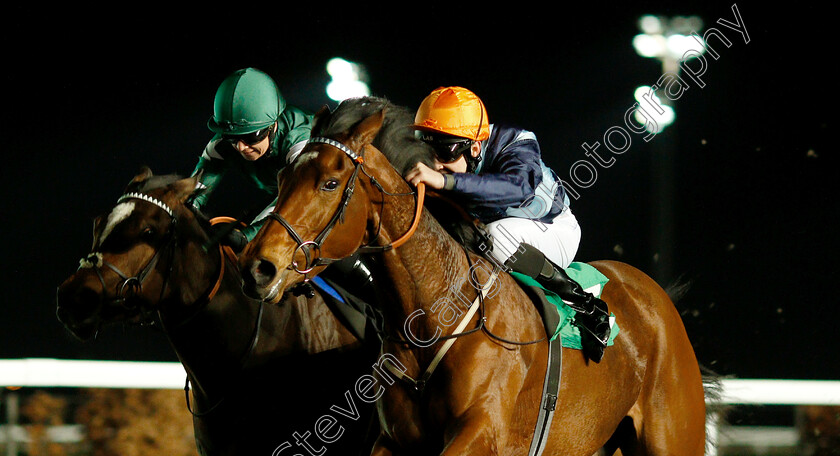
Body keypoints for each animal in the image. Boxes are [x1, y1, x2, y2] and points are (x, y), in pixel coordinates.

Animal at [238, 97, 708, 456]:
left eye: (330, 183)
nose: (258, 266)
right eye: (282, 176)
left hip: (672, 437)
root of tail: (655, 295)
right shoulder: (394, 440)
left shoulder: (482, 433)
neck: (434, 315)